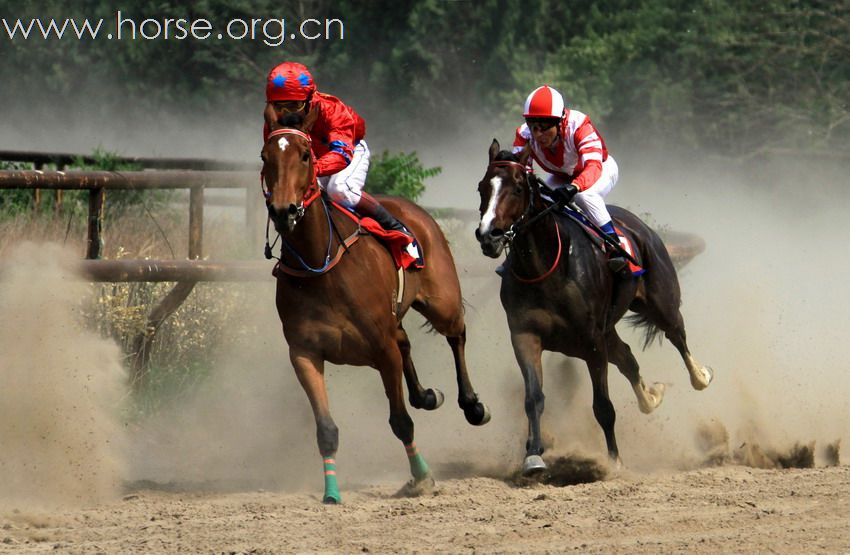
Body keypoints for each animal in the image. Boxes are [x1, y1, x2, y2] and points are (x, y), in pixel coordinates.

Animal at [260, 108, 490, 504]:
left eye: (305, 155)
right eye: (265, 157)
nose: (283, 210)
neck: (320, 264)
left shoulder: (381, 349)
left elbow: (401, 422)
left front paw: (422, 477)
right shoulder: (304, 352)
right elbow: (326, 429)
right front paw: (332, 492)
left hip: (441, 302)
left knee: (456, 333)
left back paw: (472, 404)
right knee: (407, 342)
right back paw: (426, 395)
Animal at [474, 139, 712, 474]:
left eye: (518, 188)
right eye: (482, 187)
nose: (488, 235)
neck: (546, 266)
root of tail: (639, 226)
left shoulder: (592, 341)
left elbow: (603, 406)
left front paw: (614, 462)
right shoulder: (525, 335)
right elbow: (533, 398)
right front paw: (533, 456)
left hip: (659, 302)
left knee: (676, 334)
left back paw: (700, 377)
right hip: (603, 332)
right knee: (628, 358)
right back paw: (651, 397)